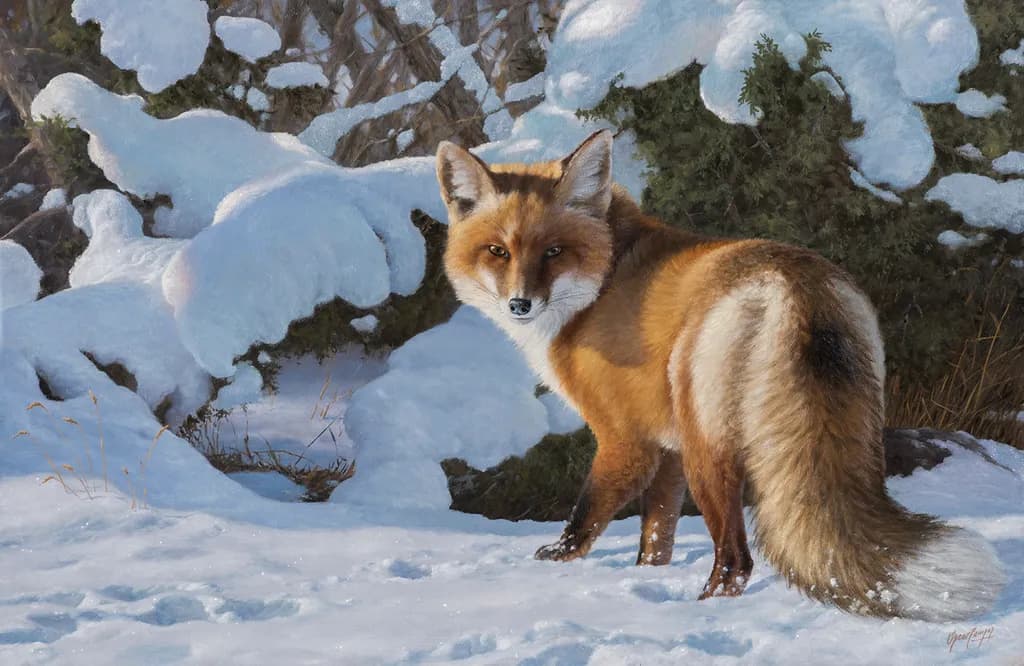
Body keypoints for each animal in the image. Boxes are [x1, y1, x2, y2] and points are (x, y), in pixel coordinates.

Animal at [434, 129, 1006, 621]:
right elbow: (655, 538)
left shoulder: (627, 441)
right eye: (497, 251)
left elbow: (583, 519)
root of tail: (794, 283)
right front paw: (646, 579)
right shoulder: (664, 453)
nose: (520, 304)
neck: (603, 282)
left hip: (706, 448)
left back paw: (698, 613)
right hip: (838, 429)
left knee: (736, 562)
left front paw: (555, 567)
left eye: (554, 251)